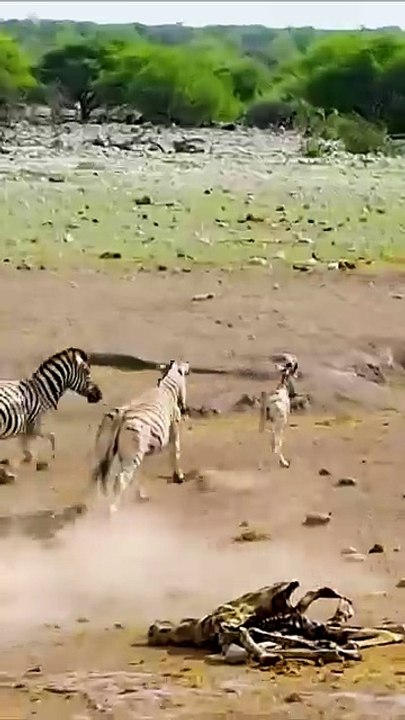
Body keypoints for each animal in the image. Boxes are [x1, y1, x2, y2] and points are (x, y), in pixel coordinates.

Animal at [0, 347, 102, 480]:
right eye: (86, 372)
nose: (99, 395)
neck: (41, 391)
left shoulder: (29, 425)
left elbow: (39, 442)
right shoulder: (33, 424)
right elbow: (50, 438)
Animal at [91, 359, 190, 513]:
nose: (185, 409)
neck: (167, 390)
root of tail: (121, 415)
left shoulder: (140, 449)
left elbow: (139, 473)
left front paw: (140, 495)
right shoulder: (174, 427)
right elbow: (175, 452)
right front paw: (178, 477)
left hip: (108, 453)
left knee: (99, 479)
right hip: (131, 454)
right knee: (120, 480)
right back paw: (113, 510)